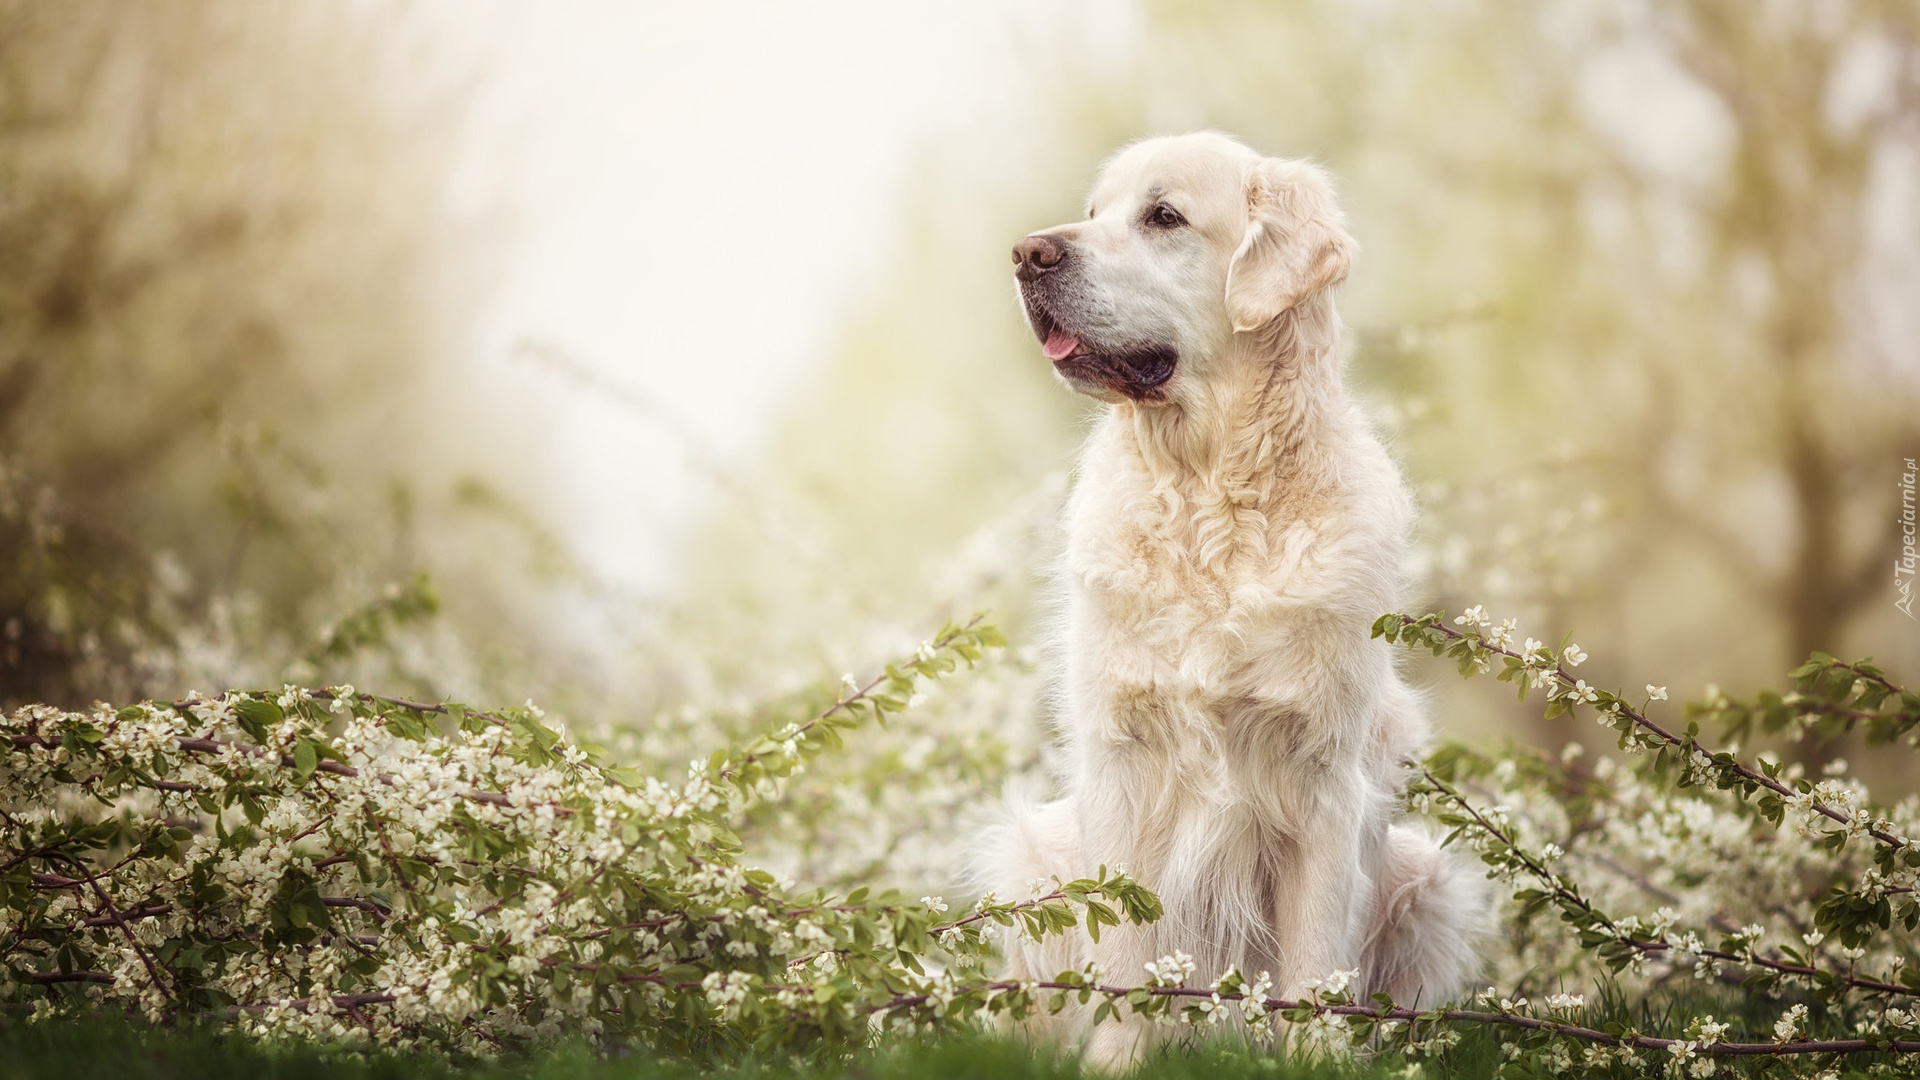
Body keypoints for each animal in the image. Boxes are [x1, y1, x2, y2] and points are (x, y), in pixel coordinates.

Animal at [990, 132, 1482, 1060]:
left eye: (1164, 215)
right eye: (1094, 210)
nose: (1028, 253)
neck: (1209, 497)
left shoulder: (1323, 777)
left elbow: (1315, 964)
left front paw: (1319, 1060)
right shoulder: (1122, 765)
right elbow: (1122, 957)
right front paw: (1114, 1063)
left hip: (1423, 875)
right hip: (1033, 850)